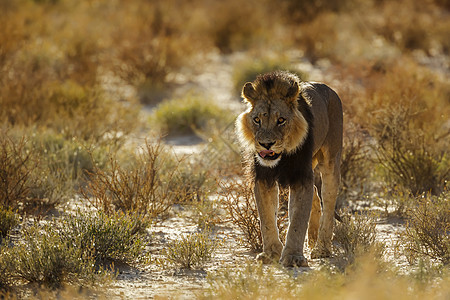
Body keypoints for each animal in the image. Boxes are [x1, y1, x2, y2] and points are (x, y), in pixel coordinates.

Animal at [236, 71, 342, 268]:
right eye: (257, 120)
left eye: (281, 120)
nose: (266, 144)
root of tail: (329, 89)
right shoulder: (263, 178)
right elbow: (267, 218)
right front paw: (270, 253)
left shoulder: (301, 176)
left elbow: (298, 220)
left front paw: (293, 257)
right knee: (315, 194)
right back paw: (312, 239)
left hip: (331, 159)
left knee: (328, 202)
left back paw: (321, 248)